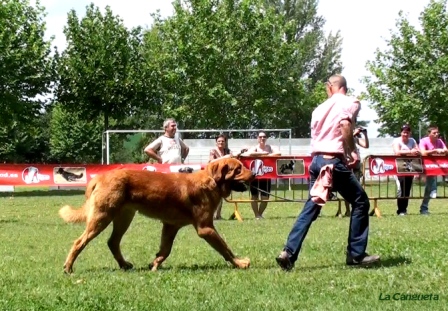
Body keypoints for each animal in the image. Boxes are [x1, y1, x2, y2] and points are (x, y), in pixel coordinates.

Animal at [59, 157, 254, 274]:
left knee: (112, 242)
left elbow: (165, 249)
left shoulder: (170, 226)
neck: (212, 182)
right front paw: (240, 263)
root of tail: (99, 177)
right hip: (103, 216)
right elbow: (225, 247)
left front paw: (154, 264)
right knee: (79, 242)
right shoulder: (205, 228)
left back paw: (124, 265)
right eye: (238, 169)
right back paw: (68, 268)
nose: (254, 174)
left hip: (124, 217)